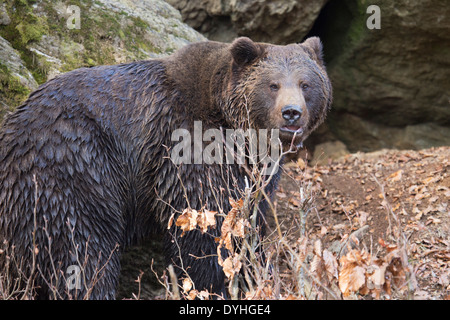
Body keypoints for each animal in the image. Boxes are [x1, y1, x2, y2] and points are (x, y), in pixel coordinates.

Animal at [0, 37, 330, 300]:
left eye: (306, 84)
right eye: (272, 85)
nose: (291, 113)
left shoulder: (253, 172)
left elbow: (249, 222)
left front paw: (257, 270)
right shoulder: (188, 148)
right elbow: (205, 228)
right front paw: (219, 283)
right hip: (74, 165)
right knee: (82, 250)